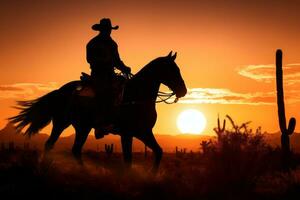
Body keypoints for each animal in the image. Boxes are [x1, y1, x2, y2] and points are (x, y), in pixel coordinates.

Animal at [9, 51, 186, 172]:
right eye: (173, 70)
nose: (183, 91)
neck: (136, 96)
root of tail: (60, 91)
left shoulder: (143, 132)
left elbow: (158, 151)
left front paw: (152, 175)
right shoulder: (127, 133)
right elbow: (128, 159)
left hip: (78, 127)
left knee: (68, 148)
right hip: (66, 124)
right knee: (55, 146)